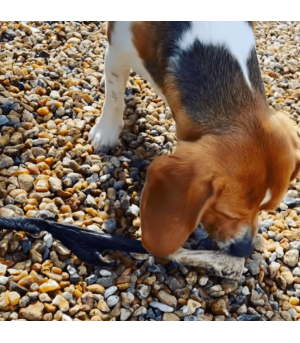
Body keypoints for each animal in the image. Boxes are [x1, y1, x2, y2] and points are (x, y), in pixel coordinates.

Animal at [89, 22, 300, 260]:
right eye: (227, 212)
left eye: (264, 209)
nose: (244, 250)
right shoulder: (119, 47)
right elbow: (114, 96)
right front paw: (106, 130)